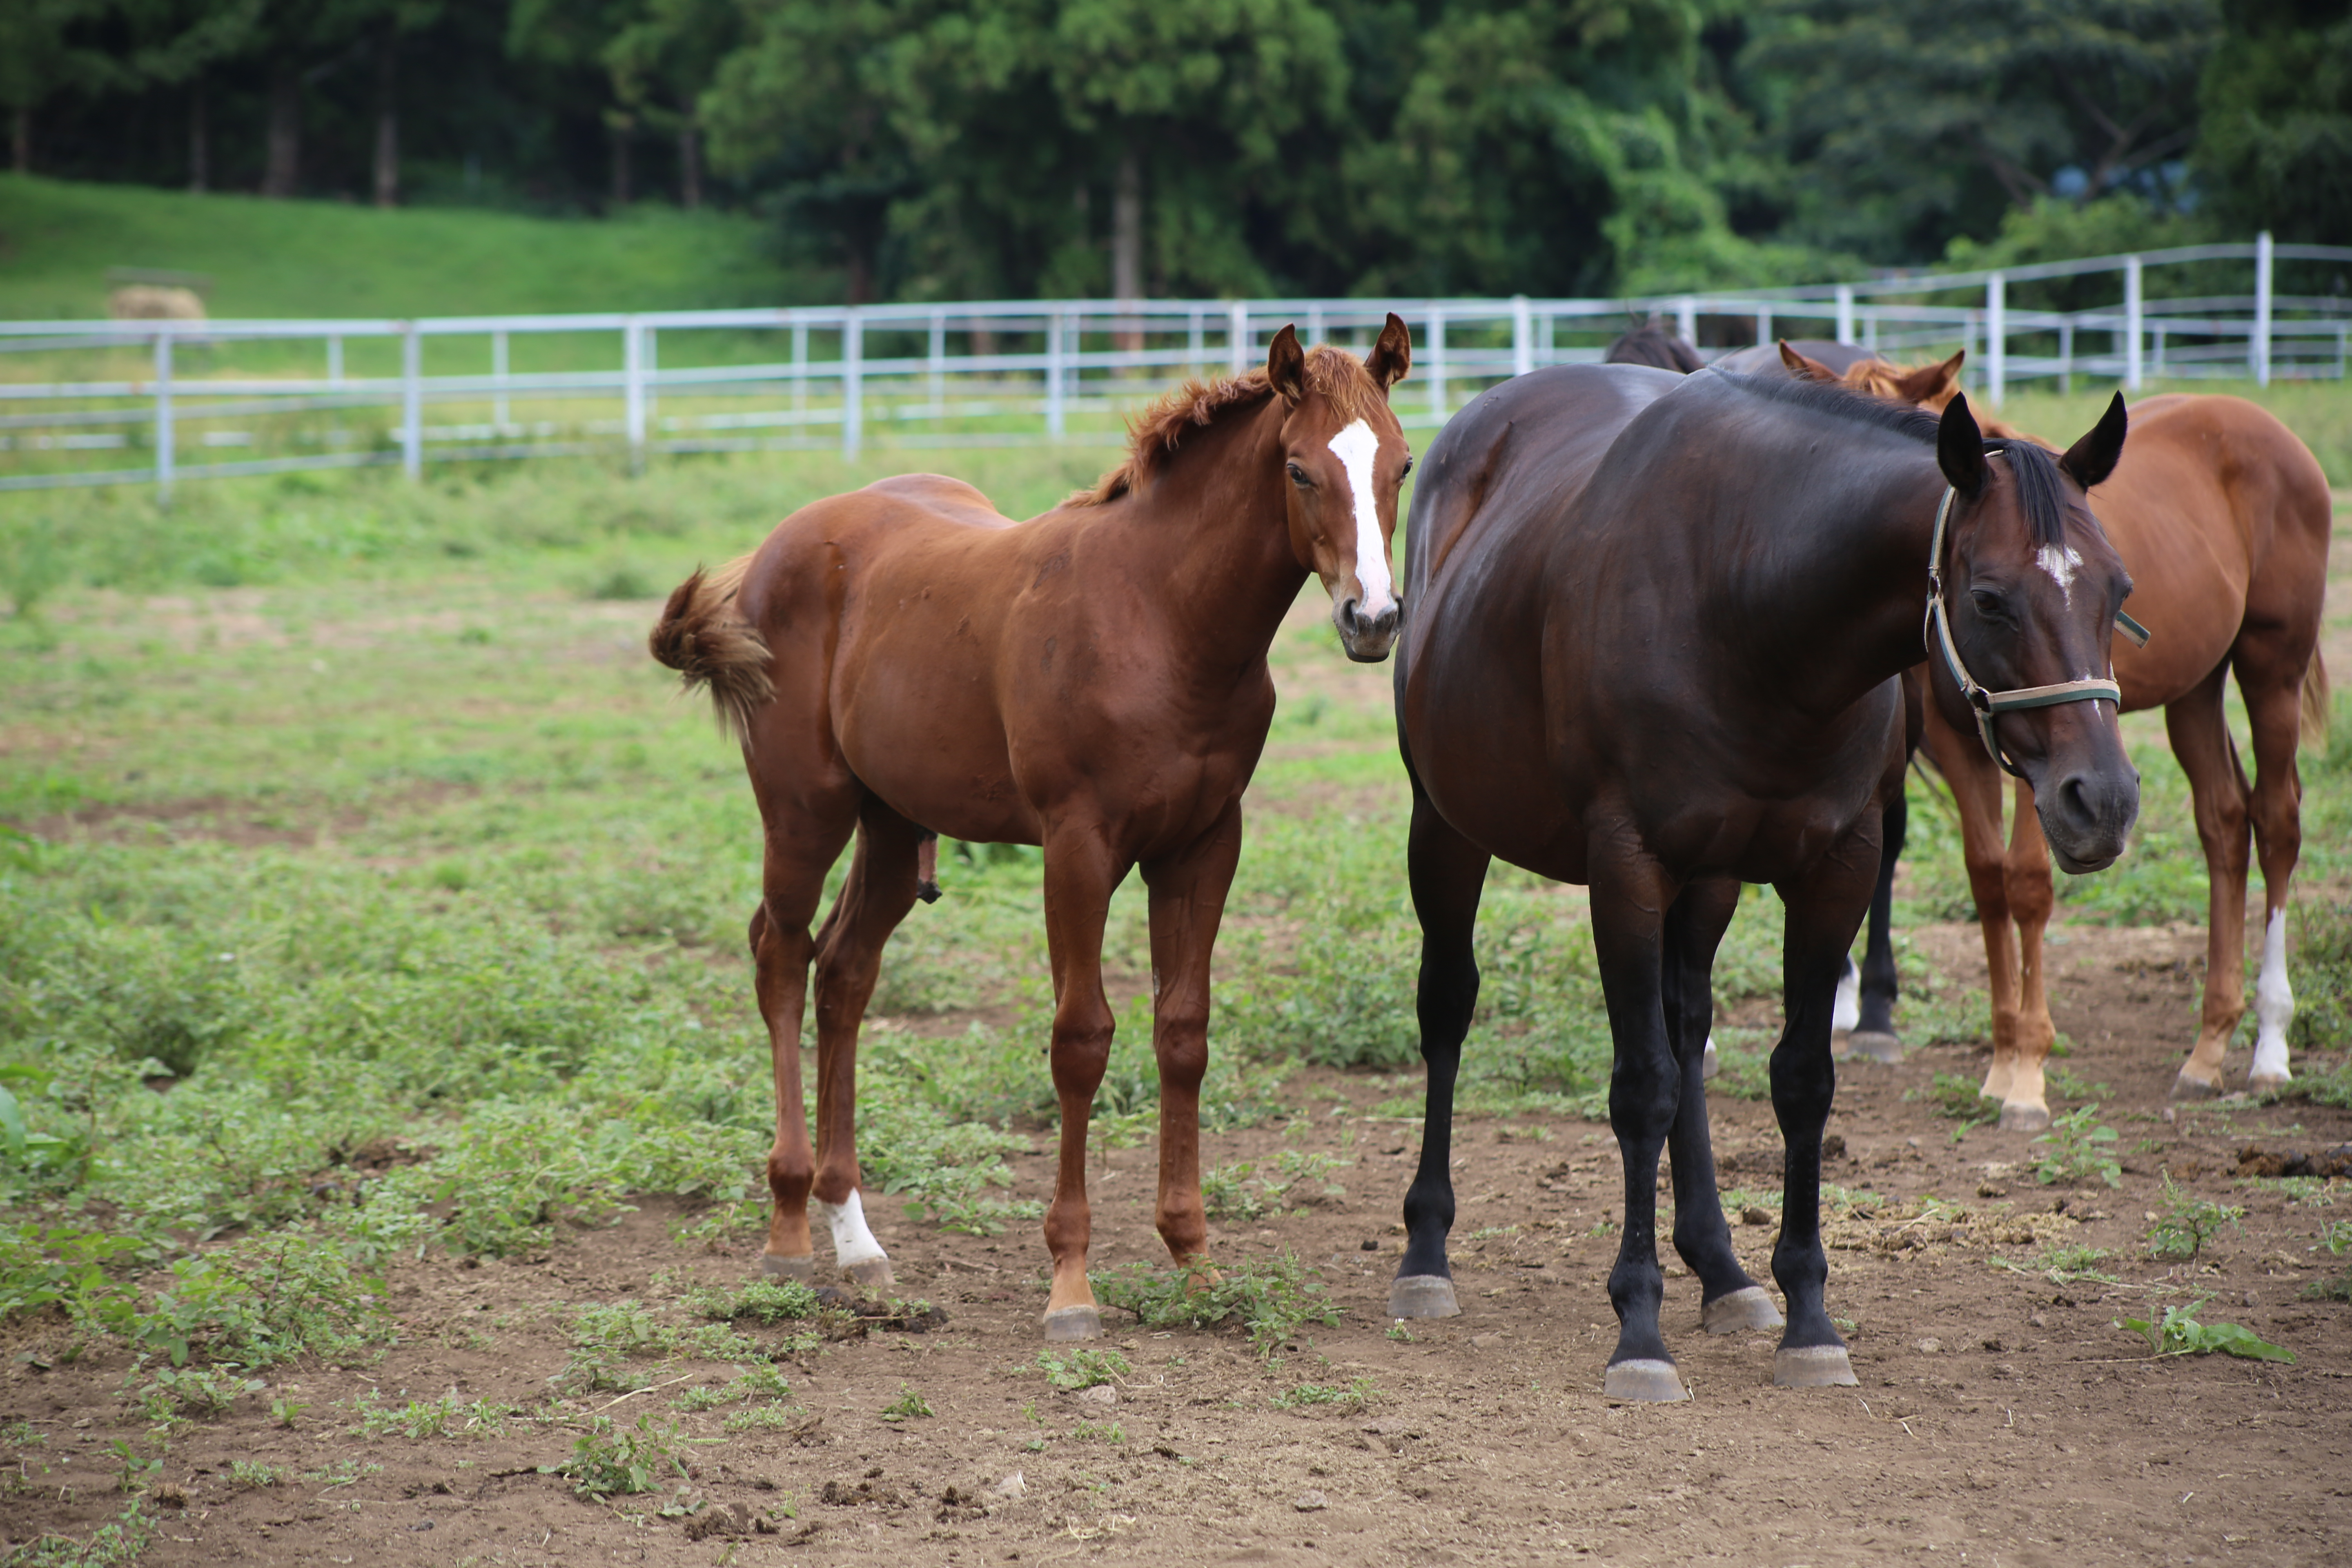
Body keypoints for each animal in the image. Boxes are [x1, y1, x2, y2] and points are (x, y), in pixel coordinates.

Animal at [649, 315, 1411, 1335]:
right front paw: (1071, 1285)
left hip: (893, 822)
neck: (1161, 621)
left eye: (1402, 464)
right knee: (781, 954)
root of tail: (785, 542)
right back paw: (789, 1227)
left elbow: (1185, 1033)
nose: (1373, 619)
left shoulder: (1205, 845)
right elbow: (1081, 1041)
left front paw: (1195, 1259)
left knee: (845, 974)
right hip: (803, 809)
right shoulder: (1078, 848)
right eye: (1298, 469)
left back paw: (858, 1239)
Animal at [1383, 364, 2145, 1401]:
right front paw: (1637, 1329)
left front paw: (1807, 1316)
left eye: (2117, 587)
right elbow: (1640, 1087)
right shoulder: (1624, 868)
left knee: (1686, 1026)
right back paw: (1426, 1253)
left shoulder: (1834, 870)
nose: (2099, 800)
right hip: (1447, 829)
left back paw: (1720, 1267)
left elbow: (1798, 1081)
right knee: (1449, 1008)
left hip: (1706, 885)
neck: (1748, 604)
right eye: (1989, 598)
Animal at [1778, 345, 2333, 1128]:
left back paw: (2270, 1048)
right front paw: (2002, 1060)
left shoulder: (2045, 768)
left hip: (2270, 668)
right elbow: (1988, 881)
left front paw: (2030, 1076)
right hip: (2195, 690)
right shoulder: (1964, 744)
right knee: (2224, 823)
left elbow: (2031, 884)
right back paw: (2206, 1050)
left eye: (2119, 589)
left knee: (2278, 821)